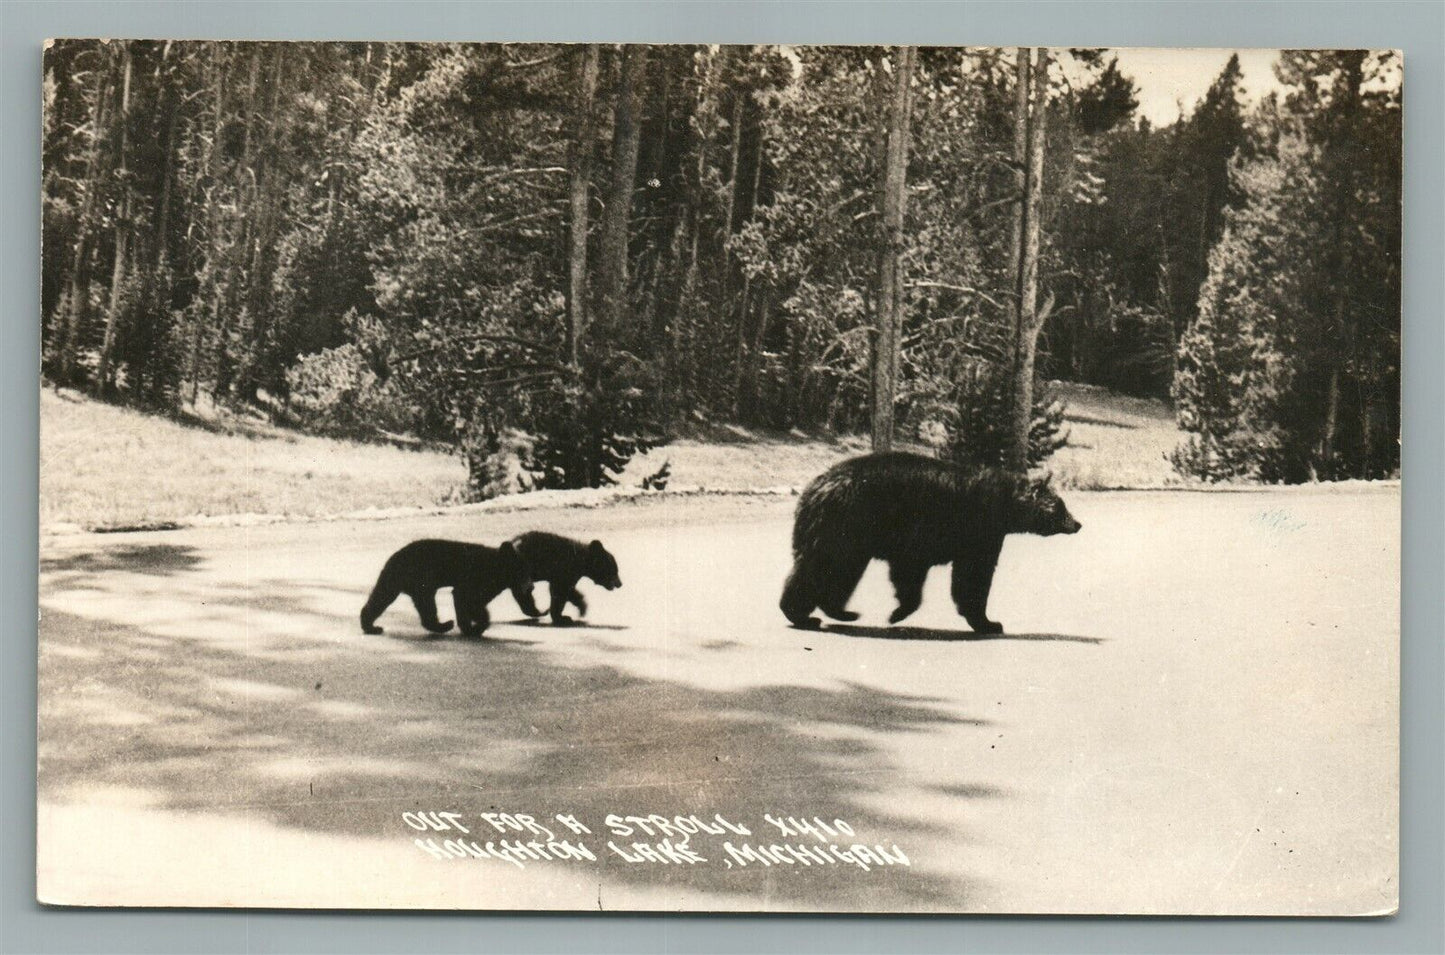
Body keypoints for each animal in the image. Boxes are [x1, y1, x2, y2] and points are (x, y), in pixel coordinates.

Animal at [359, 540, 528, 635]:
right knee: (425, 603)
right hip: (420, 578)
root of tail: (394, 558)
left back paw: (370, 626)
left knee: (382, 597)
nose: (529, 586)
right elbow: (465, 596)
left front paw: (470, 627)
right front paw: (475, 628)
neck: (497, 566)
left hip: (399, 580)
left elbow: (472, 601)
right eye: (522, 571)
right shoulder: (475, 577)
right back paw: (444, 625)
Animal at [780, 453, 1086, 632]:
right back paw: (810, 614)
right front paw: (989, 622)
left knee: (835, 571)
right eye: (1061, 507)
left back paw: (831, 613)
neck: (1004, 505)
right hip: (846, 523)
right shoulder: (976, 529)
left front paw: (898, 612)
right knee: (827, 566)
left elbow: (919, 573)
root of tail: (811, 489)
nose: (1077, 524)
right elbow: (973, 574)